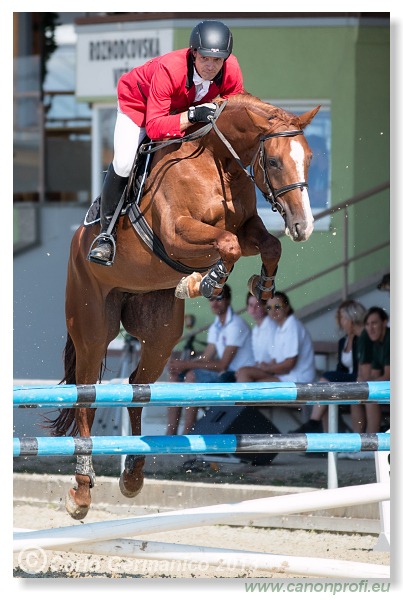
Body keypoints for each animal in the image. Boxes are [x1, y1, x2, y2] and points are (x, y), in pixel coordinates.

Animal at [49, 95, 322, 520]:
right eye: (275, 162)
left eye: (308, 157)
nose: (304, 226)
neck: (215, 162)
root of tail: (79, 243)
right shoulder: (177, 234)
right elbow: (226, 243)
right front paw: (204, 282)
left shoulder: (247, 227)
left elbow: (264, 244)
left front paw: (259, 287)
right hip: (92, 327)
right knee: (87, 398)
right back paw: (81, 490)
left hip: (160, 335)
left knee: (137, 388)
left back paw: (133, 476)